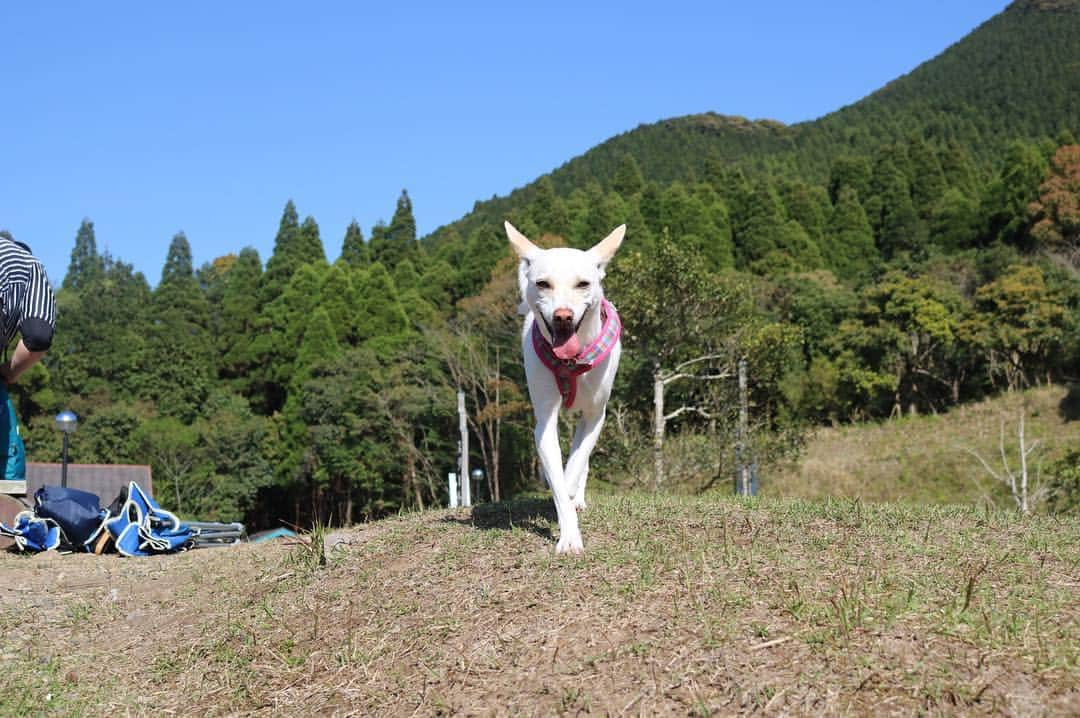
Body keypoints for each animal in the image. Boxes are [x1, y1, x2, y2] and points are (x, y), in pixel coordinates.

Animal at [505, 221, 626, 550]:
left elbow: (577, 462)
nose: (563, 316)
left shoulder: (596, 416)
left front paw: (572, 489)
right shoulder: (545, 422)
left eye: (583, 284)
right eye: (543, 284)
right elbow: (557, 479)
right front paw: (569, 536)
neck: (571, 360)